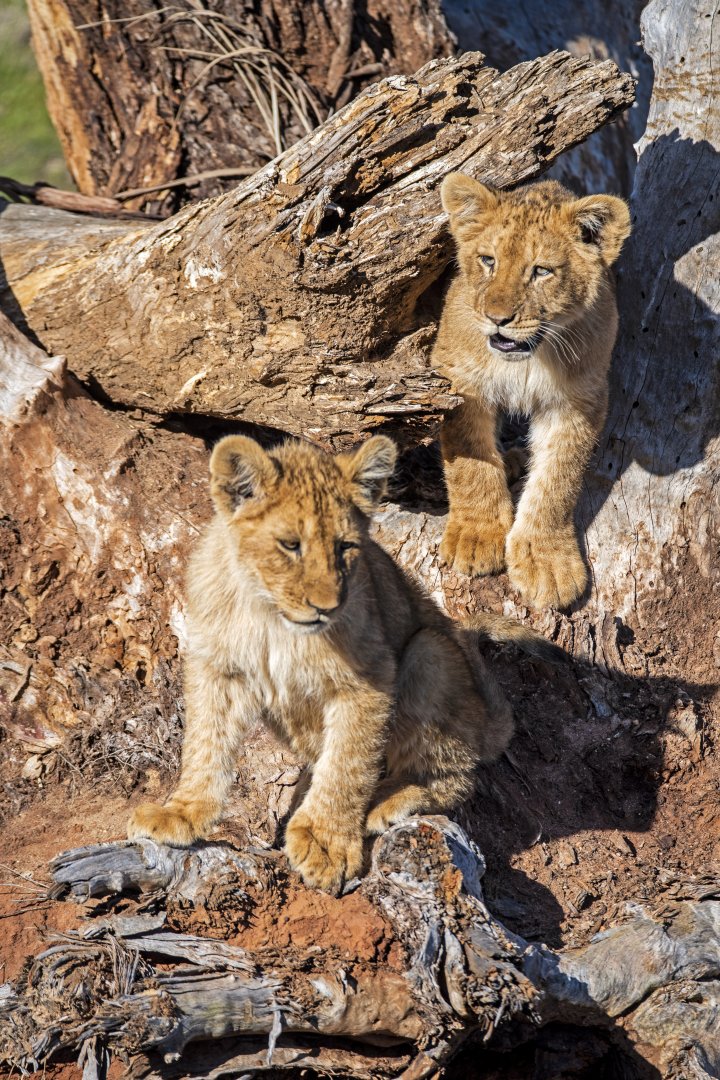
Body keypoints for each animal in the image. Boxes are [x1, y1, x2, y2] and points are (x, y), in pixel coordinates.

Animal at [128, 434, 563, 892]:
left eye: (346, 546)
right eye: (290, 545)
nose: (327, 606)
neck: (270, 616)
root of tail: (487, 722)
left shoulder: (368, 678)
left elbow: (347, 765)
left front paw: (326, 843)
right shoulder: (220, 670)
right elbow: (204, 745)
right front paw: (180, 813)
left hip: (429, 651)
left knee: (456, 776)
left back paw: (387, 801)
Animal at [433, 174, 631, 609]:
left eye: (541, 271)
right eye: (488, 261)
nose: (497, 318)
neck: (529, 358)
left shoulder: (577, 401)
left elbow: (558, 481)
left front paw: (547, 562)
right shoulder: (458, 379)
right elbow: (469, 460)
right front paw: (476, 536)